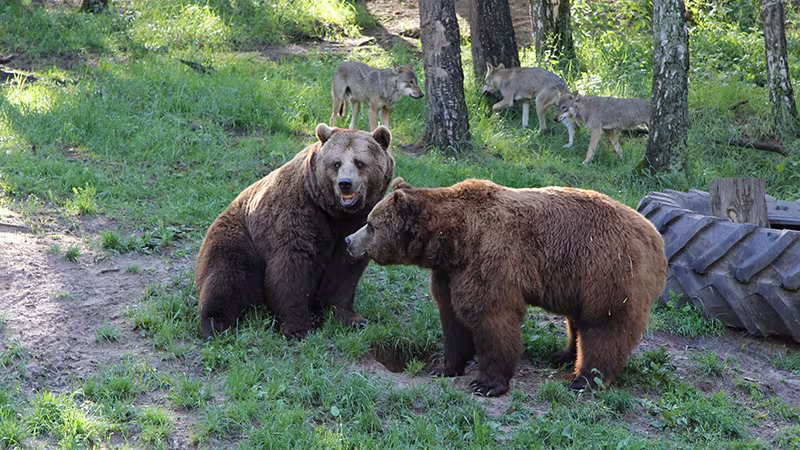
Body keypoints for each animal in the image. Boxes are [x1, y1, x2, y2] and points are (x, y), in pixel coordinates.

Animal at [195, 123, 395, 340]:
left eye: (359, 162)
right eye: (336, 163)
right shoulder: (298, 211)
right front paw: (298, 328)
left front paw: (352, 318)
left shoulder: (355, 226)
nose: (345, 183)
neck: (334, 212)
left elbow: (344, 272)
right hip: (238, 238)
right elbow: (292, 267)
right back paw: (215, 324)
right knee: (226, 277)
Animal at [345, 178, 667, 396]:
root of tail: (655, 238)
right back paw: (563, 356)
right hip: (579, 281)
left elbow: (492, 318)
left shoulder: (490, 258)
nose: (348, 241)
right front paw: (445, 367)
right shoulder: (449, 273)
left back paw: (585, 379)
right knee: (577, 320)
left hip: (608, 270)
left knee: (604, 326)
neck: (452, 239)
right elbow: (452, 318)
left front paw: (487, 383)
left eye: (370, 224)